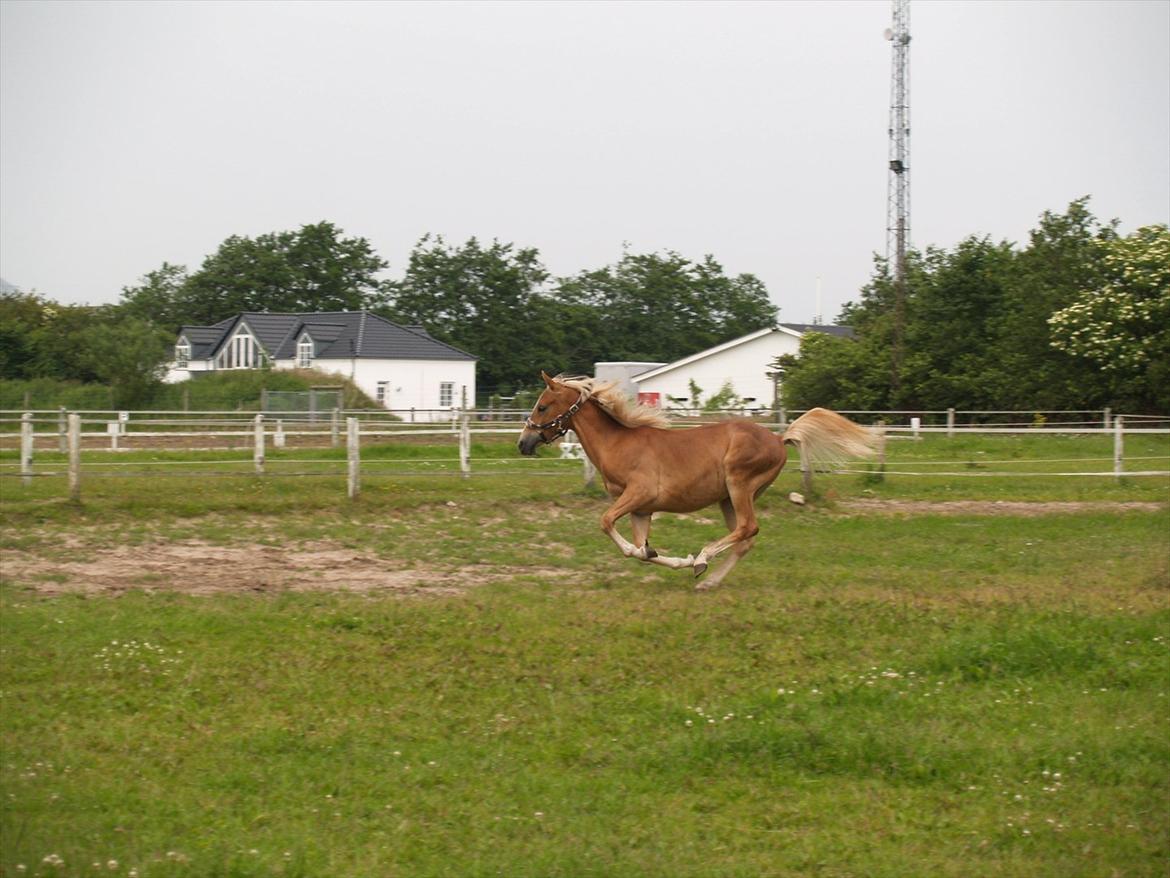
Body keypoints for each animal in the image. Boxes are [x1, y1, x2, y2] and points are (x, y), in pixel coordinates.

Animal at [518, 371, 878, 589]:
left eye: (542, 406)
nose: (523, 443)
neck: (619, 444)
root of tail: (780, 438)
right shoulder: (641, 509)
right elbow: (641, 550)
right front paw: (676, 559)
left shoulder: (638, 494)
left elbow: (607, 524)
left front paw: (689, 558)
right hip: (728, 498)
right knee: (744, 538)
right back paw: (707, 580)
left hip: (739, 485)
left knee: (748, 528)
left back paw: (704, 559)